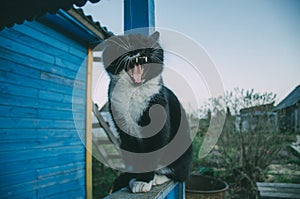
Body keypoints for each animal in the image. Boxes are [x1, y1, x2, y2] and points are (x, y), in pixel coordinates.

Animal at [102, 32, 192, 193]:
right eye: (129, 41)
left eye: (146, 42)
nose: (142, 48)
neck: (134, 92)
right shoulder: (124, 131)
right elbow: (135, 158)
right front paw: (134, 178)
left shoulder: (159, 122)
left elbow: (152, 153)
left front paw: (143, 181)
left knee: (180, 174)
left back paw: (158, 177)